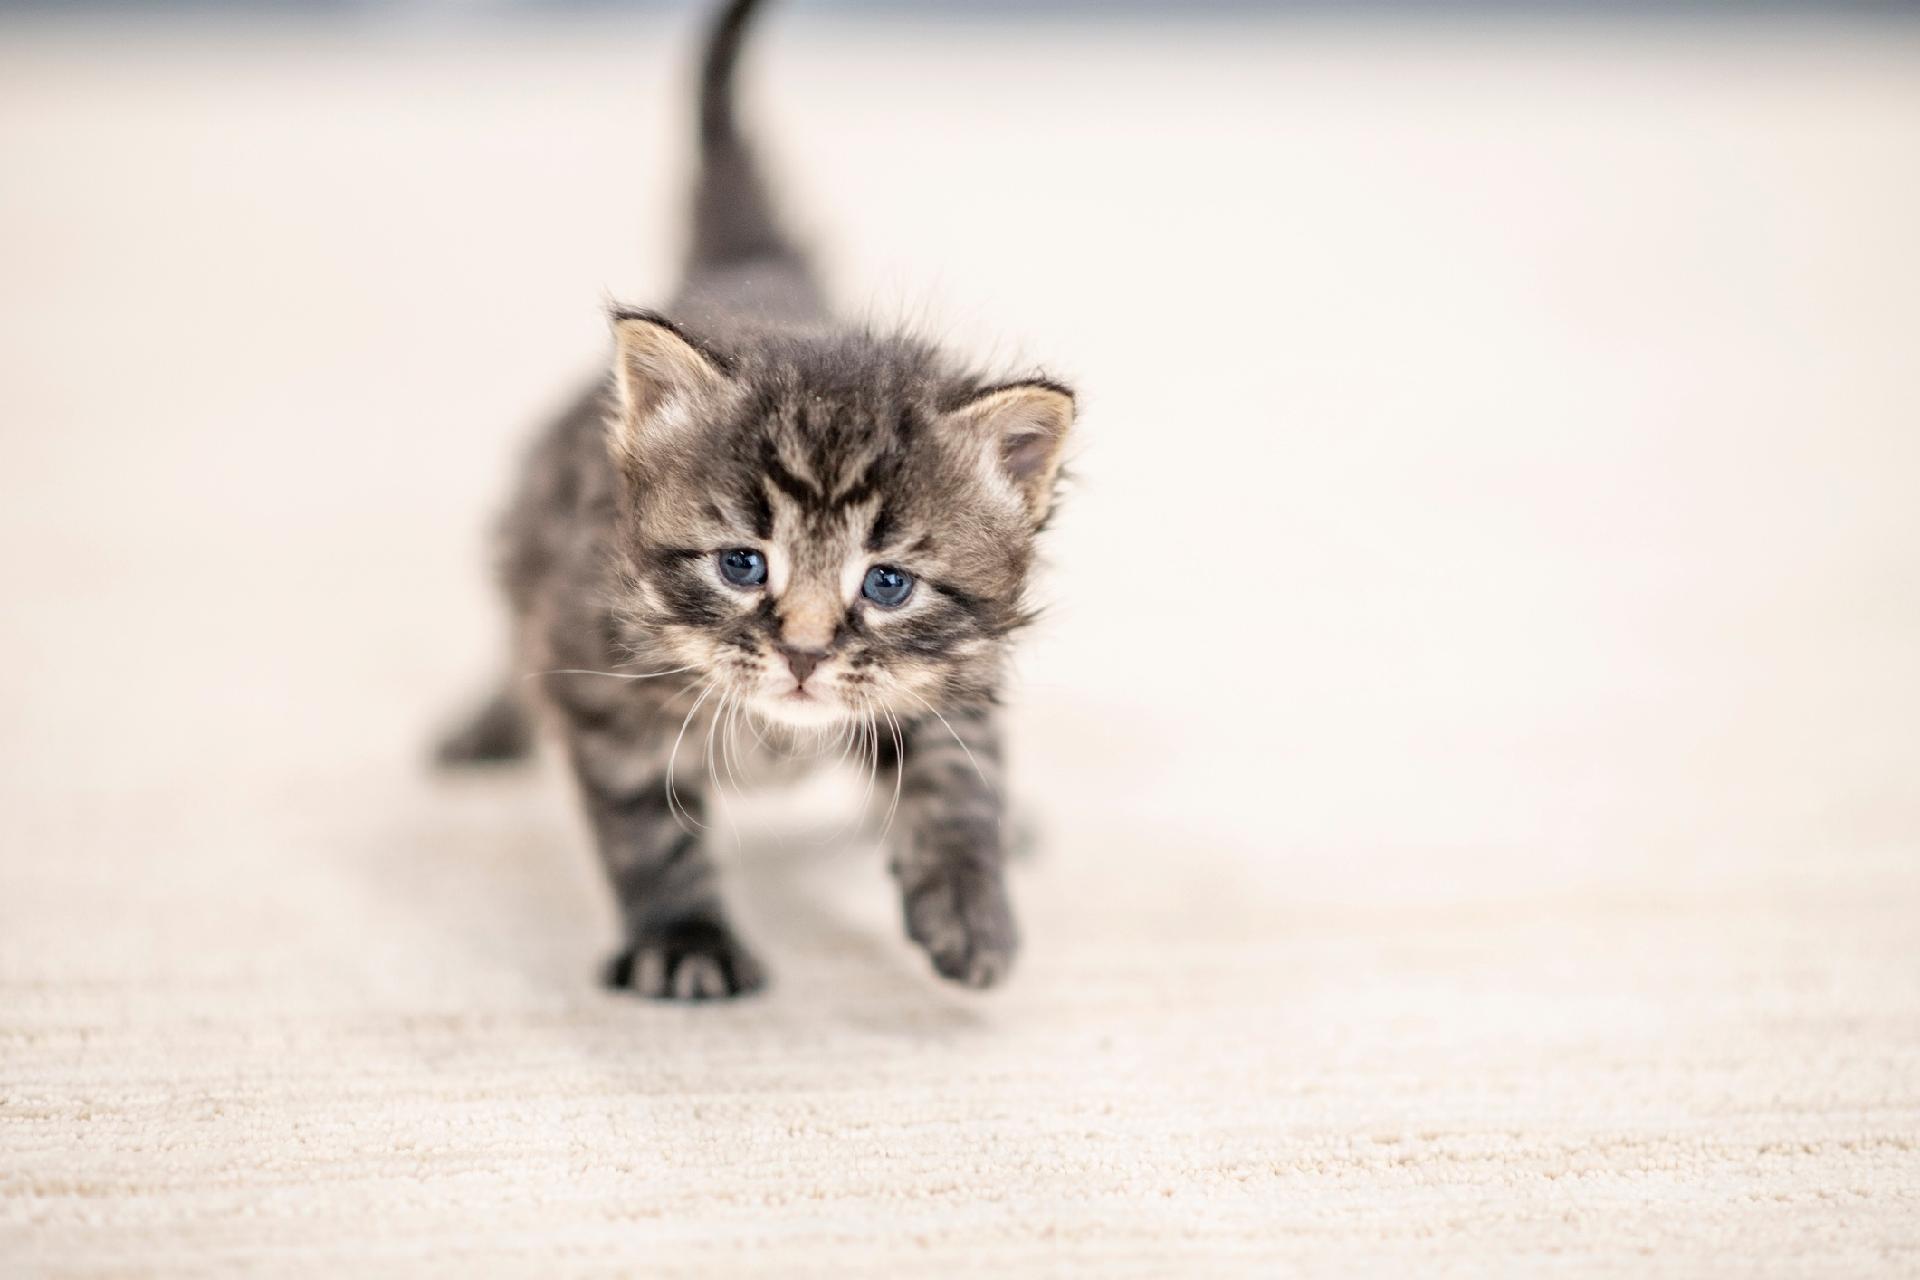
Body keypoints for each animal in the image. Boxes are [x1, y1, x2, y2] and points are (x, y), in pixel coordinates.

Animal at [439, 0, 1082, 997]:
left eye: (887, 583)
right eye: (743, 564)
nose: (805, 654)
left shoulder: (951, 674)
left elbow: (954, 773)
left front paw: (971, 904)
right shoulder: (598, 679)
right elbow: (647, 827)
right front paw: (685, 939)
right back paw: (482, 728)